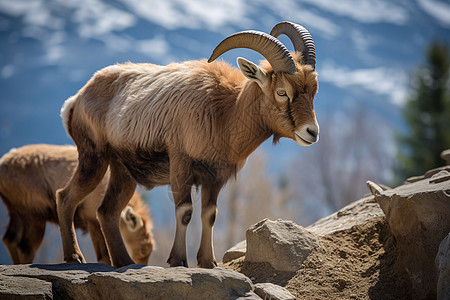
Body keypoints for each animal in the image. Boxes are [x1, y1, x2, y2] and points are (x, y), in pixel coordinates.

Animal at [0, 144, 155, 264]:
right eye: (143, 250)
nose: (140, 264)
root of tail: (2, 164)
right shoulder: (91, 219)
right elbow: (104, 257)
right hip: (34, 214)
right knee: (25, 247)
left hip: (17, 210)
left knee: (10, 239)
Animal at [57, 22, 320, 268]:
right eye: (282, 92)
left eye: (313, 91)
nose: (312, 132)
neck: (224, 113)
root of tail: (76, 100)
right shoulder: (181, 164)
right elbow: (185, 212)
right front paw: (178, 260)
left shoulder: (215, 177)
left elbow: (210, 215)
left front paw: (208, 262)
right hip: (94, 159)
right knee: (65, 197)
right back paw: (75, 257)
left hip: (123, 172)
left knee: (107, 211)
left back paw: (124, 262)